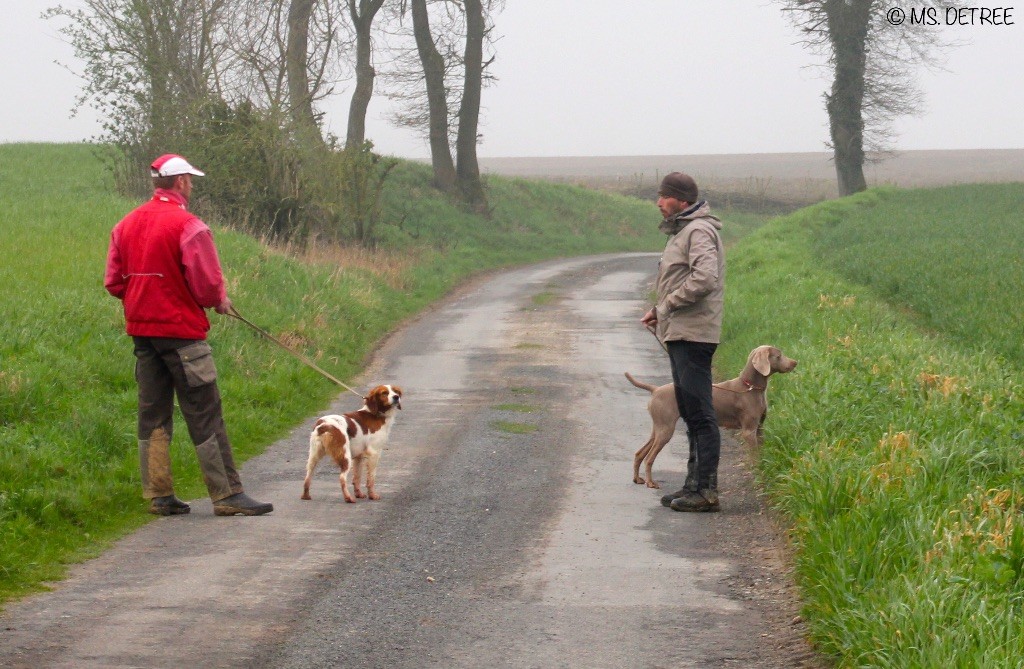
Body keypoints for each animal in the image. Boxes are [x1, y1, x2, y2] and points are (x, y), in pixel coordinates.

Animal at [622, 346, 798, 487]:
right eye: (779, 355)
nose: (795, 362)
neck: (750, 387)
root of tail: (655, 389)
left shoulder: (760, 428)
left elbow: (760, 452)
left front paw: (764, 467)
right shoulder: (748, 431)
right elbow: (754, 455)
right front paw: (758, 472)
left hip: (658, 427)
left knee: (640, 453)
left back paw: (637, 479)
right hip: (666, 429)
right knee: (649, 457)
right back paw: (651, 482)